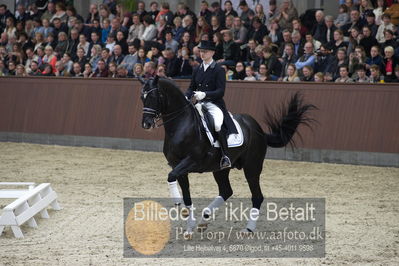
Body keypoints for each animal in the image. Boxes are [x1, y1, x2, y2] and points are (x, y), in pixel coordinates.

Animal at [139, 77, 318, 237]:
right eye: (142, 97)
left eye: (153, 97)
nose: (146, 124)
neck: (181, 125)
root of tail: (257, 128)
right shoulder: (177, 164)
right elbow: (185, 193)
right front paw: (188, 224)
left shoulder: (191, 161)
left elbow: (171, 176)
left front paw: (178, 204)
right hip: (220, 169)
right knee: (226, 190)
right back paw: (204, 220)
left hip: (252, 167)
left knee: (257, 196)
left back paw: (248, 229)